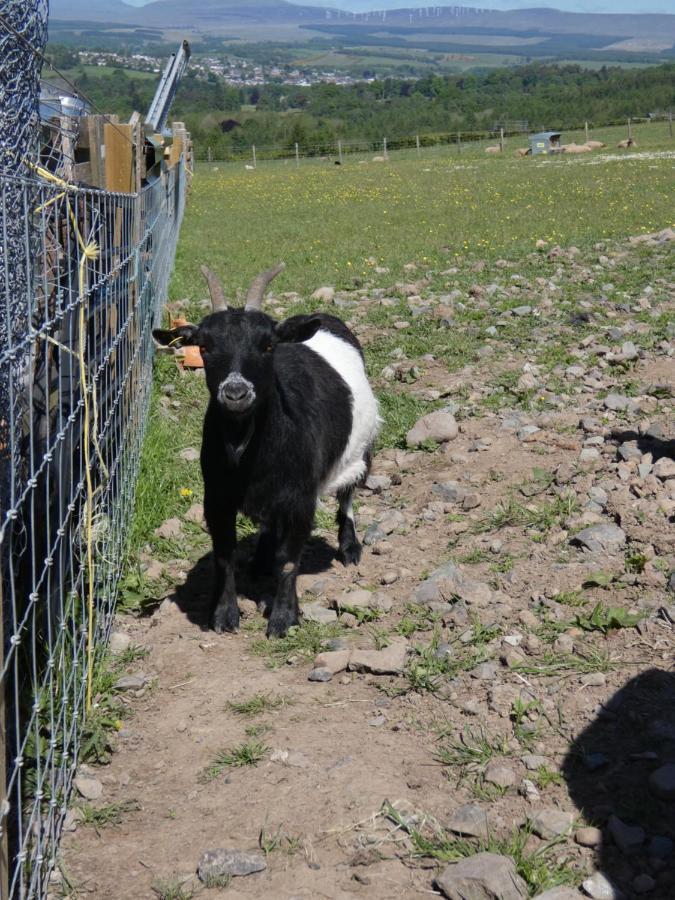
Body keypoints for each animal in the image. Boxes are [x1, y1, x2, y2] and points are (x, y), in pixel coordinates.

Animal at [155, 264, 382, 636]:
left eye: (267, 344)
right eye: (203, 345)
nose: (235, 392)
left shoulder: (301, 499)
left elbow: (289, 560)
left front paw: (283, 617)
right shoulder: (216, 498)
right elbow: (224, 555)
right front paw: (223, 615)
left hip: (362, 446)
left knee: (348, 492)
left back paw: (349, 547)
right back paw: (260, 559)